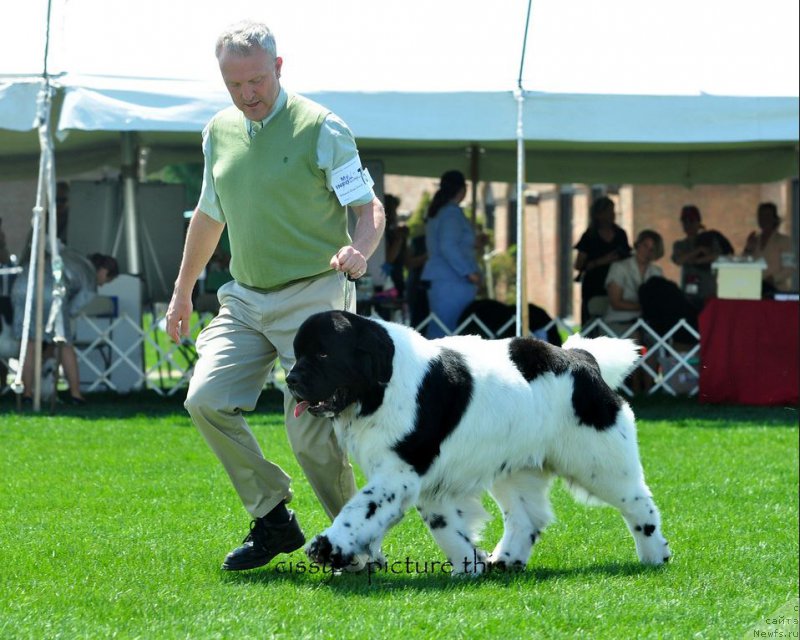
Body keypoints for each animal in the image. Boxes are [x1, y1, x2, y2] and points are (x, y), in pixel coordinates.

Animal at [284, 310, 672, 576]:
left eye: (323, 355)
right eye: (297, 353)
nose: (290, 379)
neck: (382, 384)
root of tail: (582, 358)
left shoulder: (398, 473)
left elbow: (359, 509)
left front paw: (327, 546)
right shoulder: (428, 481)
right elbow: (445, 526)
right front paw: (470, 565)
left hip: (598, 462)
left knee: (639, 504)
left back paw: (655, 555)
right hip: (515, 467)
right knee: (526, 518)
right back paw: (506, 560)